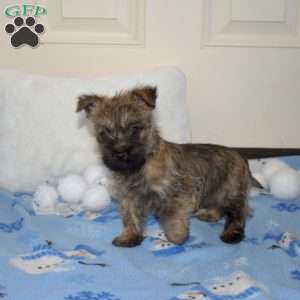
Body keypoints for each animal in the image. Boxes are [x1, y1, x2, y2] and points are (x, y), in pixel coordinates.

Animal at [77, 85, 253, 247]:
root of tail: (239, 155)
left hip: (231, 191)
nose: (120, 154)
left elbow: (173, 215)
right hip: (215, 191)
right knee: (221, 206)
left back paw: (232, 233)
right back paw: (211, 214)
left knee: (239, 213)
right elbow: (129, 217)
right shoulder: (130, 197)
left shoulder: (181, 192)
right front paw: (129, 237)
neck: (141, 166)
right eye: (103, 133)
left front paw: (177, 236)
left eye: (135, 128)